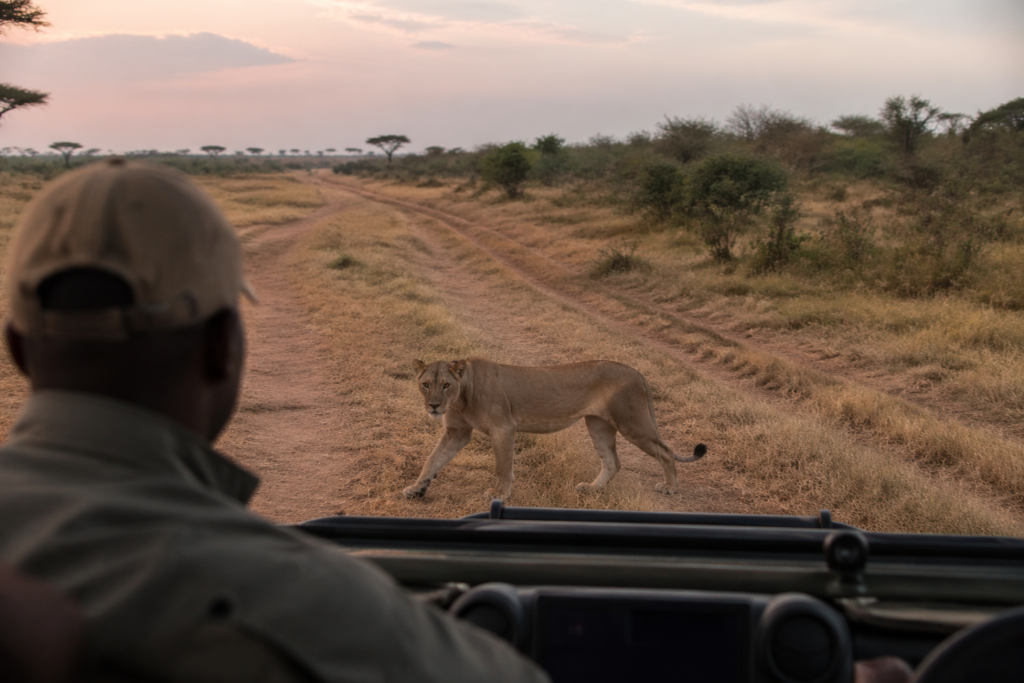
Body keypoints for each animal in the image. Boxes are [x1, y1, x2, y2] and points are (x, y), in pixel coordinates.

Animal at [404, 357, 706, 500]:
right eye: (425, 384)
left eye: (446, 385)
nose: (433, 406)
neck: (461, 397)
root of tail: (636, 371)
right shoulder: (457, 433)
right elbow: (433, 459)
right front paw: (417, 488)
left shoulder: (503, 429)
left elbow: (503, 467)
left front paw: (500, 494)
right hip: (598, 425)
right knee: (613, 461)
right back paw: (592, 489)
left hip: (632, 422)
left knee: (664, 452)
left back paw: (670, 488)